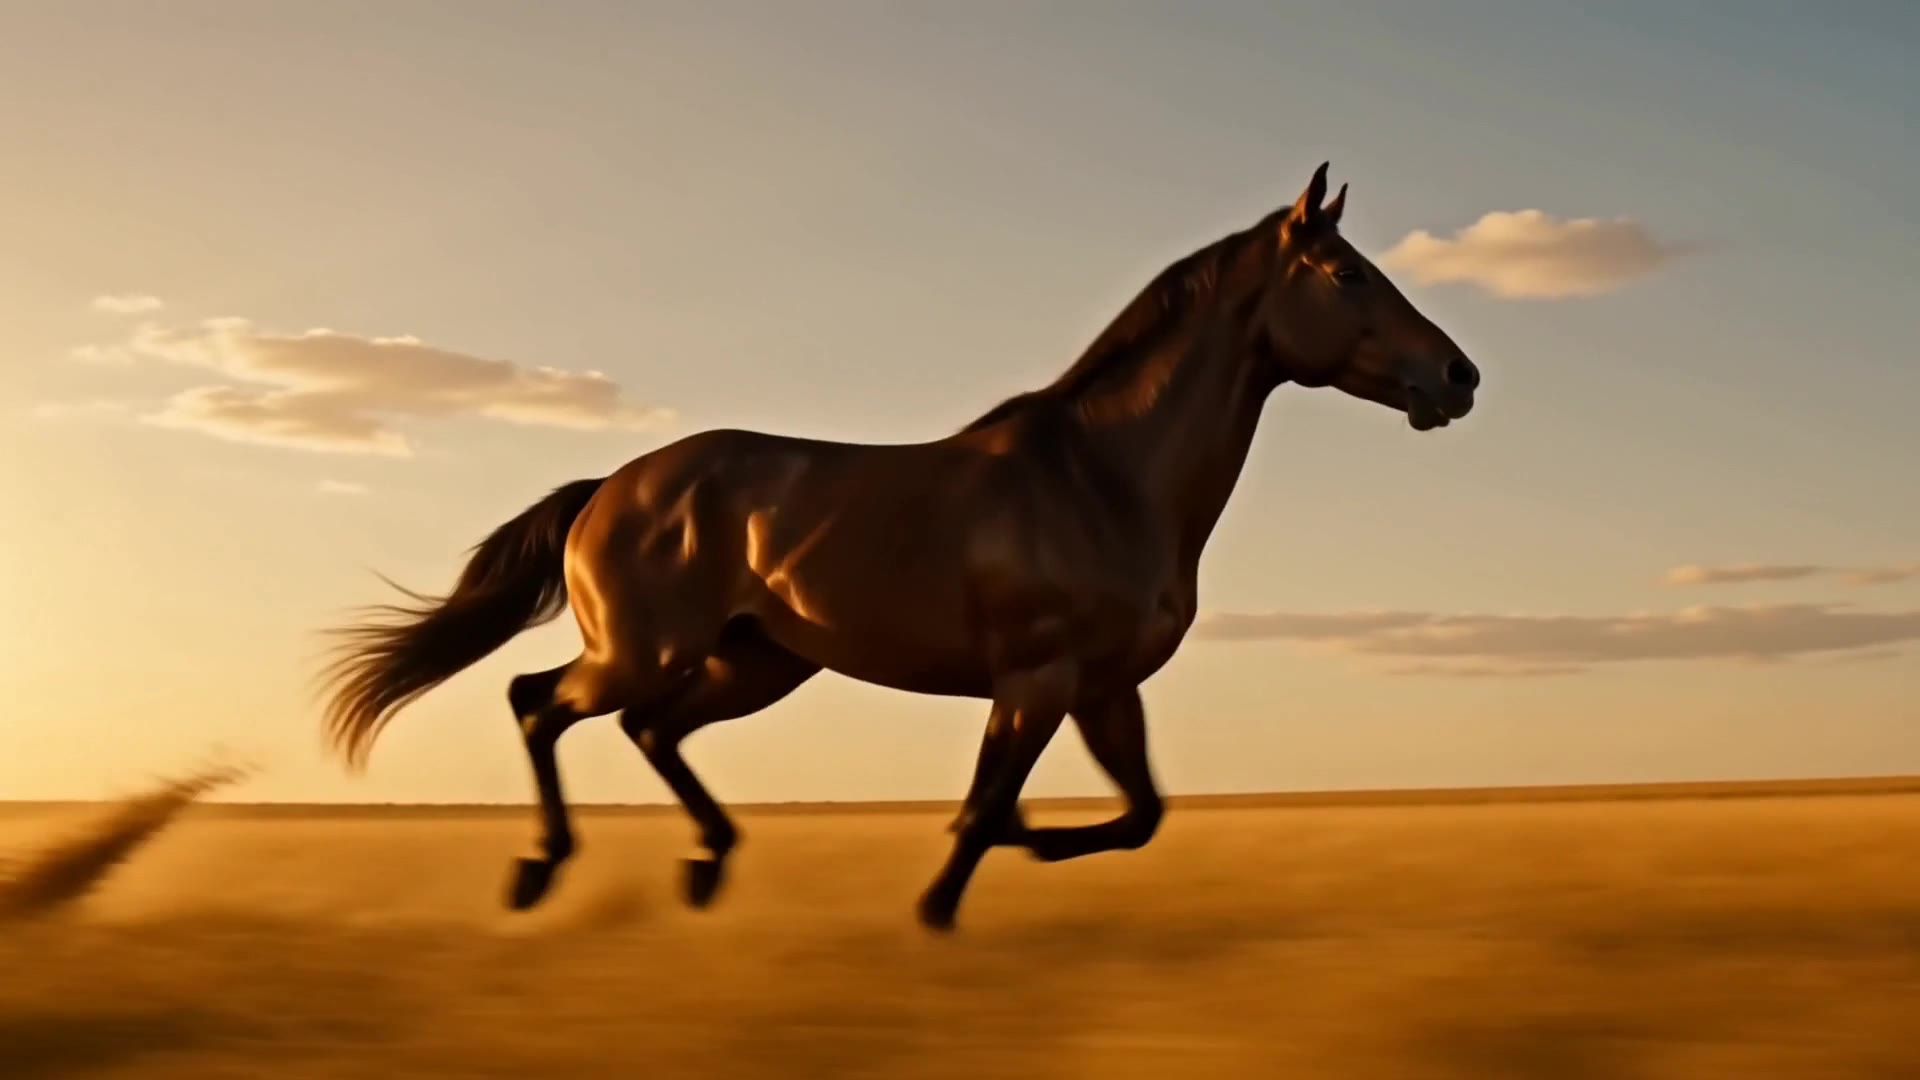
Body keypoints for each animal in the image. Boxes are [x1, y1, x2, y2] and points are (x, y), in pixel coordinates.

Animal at [317, 163, 1482, 931]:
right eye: (1345, 274)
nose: (1459, 377)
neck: (1101, 477)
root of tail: (610, 487)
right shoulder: (1037, 679)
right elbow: (985, 810)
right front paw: (950, 895)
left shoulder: (1105, 688)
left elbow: (1139, 814)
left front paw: (1032, 840)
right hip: (646, 652)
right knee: (539, 702)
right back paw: (538, 869)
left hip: (756, 663)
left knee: (650, 730)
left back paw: (706, 865)